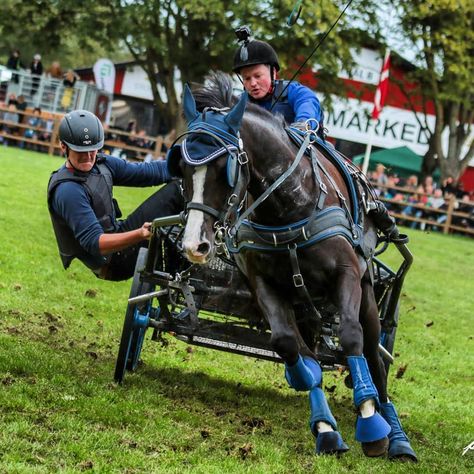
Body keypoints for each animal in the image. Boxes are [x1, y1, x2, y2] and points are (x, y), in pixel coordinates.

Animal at [166, 73, 414, 460]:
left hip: (367, 296)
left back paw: (397, 435)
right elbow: (291, 349)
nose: (194, 244)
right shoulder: (265, 285)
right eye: (182, 167)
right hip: (304, 306)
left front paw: (372, 425)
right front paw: (326, 431)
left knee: (374, 354)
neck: (291, 205)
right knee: (309, 351)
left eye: (224, 170)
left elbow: (351, 338)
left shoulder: (345, 277)